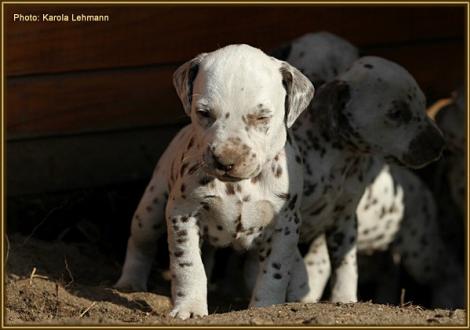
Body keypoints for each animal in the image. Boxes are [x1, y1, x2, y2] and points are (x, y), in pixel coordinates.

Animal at [113, 44, 316, 320]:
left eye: (262, 117)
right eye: (204, 113)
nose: (226, 160)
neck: (240, 185)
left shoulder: (285, 225)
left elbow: (274, 273)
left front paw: (266, 308)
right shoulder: (182, 214)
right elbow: (188, 265)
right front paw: (189, 308)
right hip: (150, 209)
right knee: (141, 242)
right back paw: (130, 282)